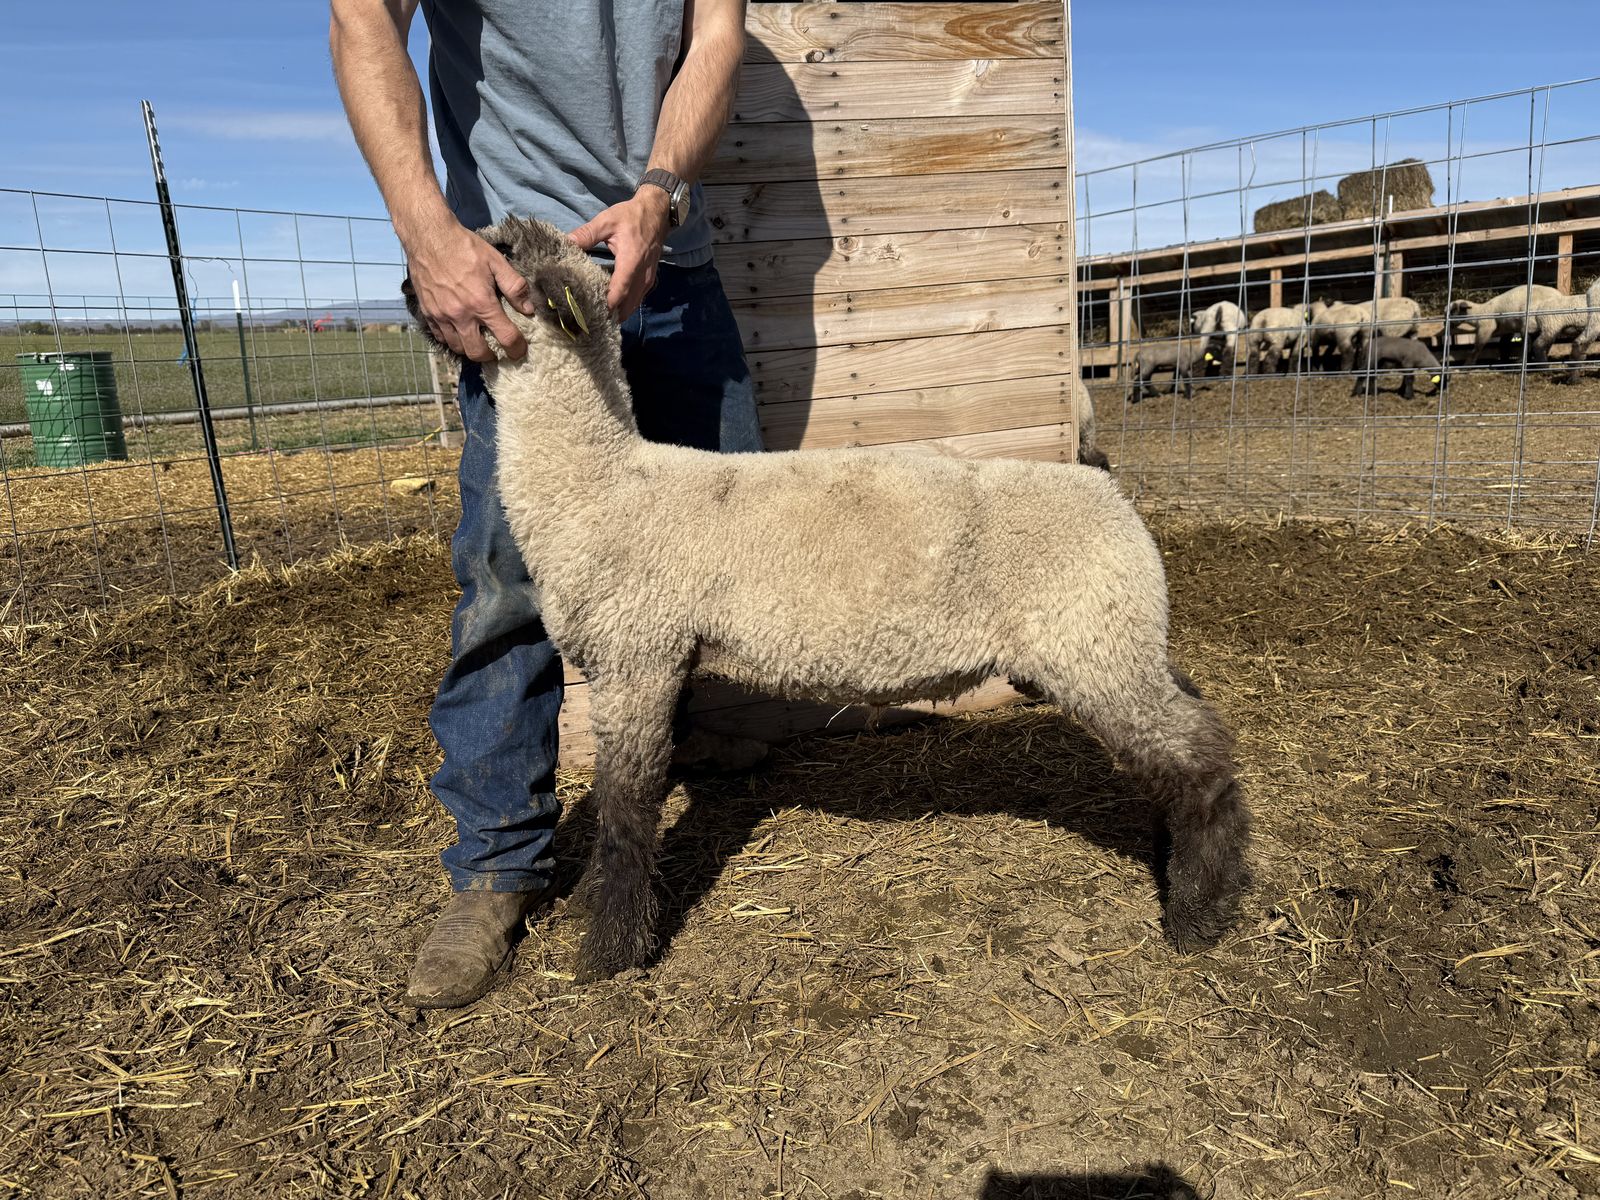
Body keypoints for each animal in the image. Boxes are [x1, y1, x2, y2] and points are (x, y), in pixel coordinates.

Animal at [406, 216, 1252, 981]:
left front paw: (609, 951)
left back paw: (1200, 913)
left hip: (1094, 645)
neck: (597, 483)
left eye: (498, 250)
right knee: (1190, 724)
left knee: (1203, 758)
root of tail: (1111, 492)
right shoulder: (652, 660)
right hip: (1116, 639)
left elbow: (625, 810)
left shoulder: (635, 656)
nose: (414, 287)